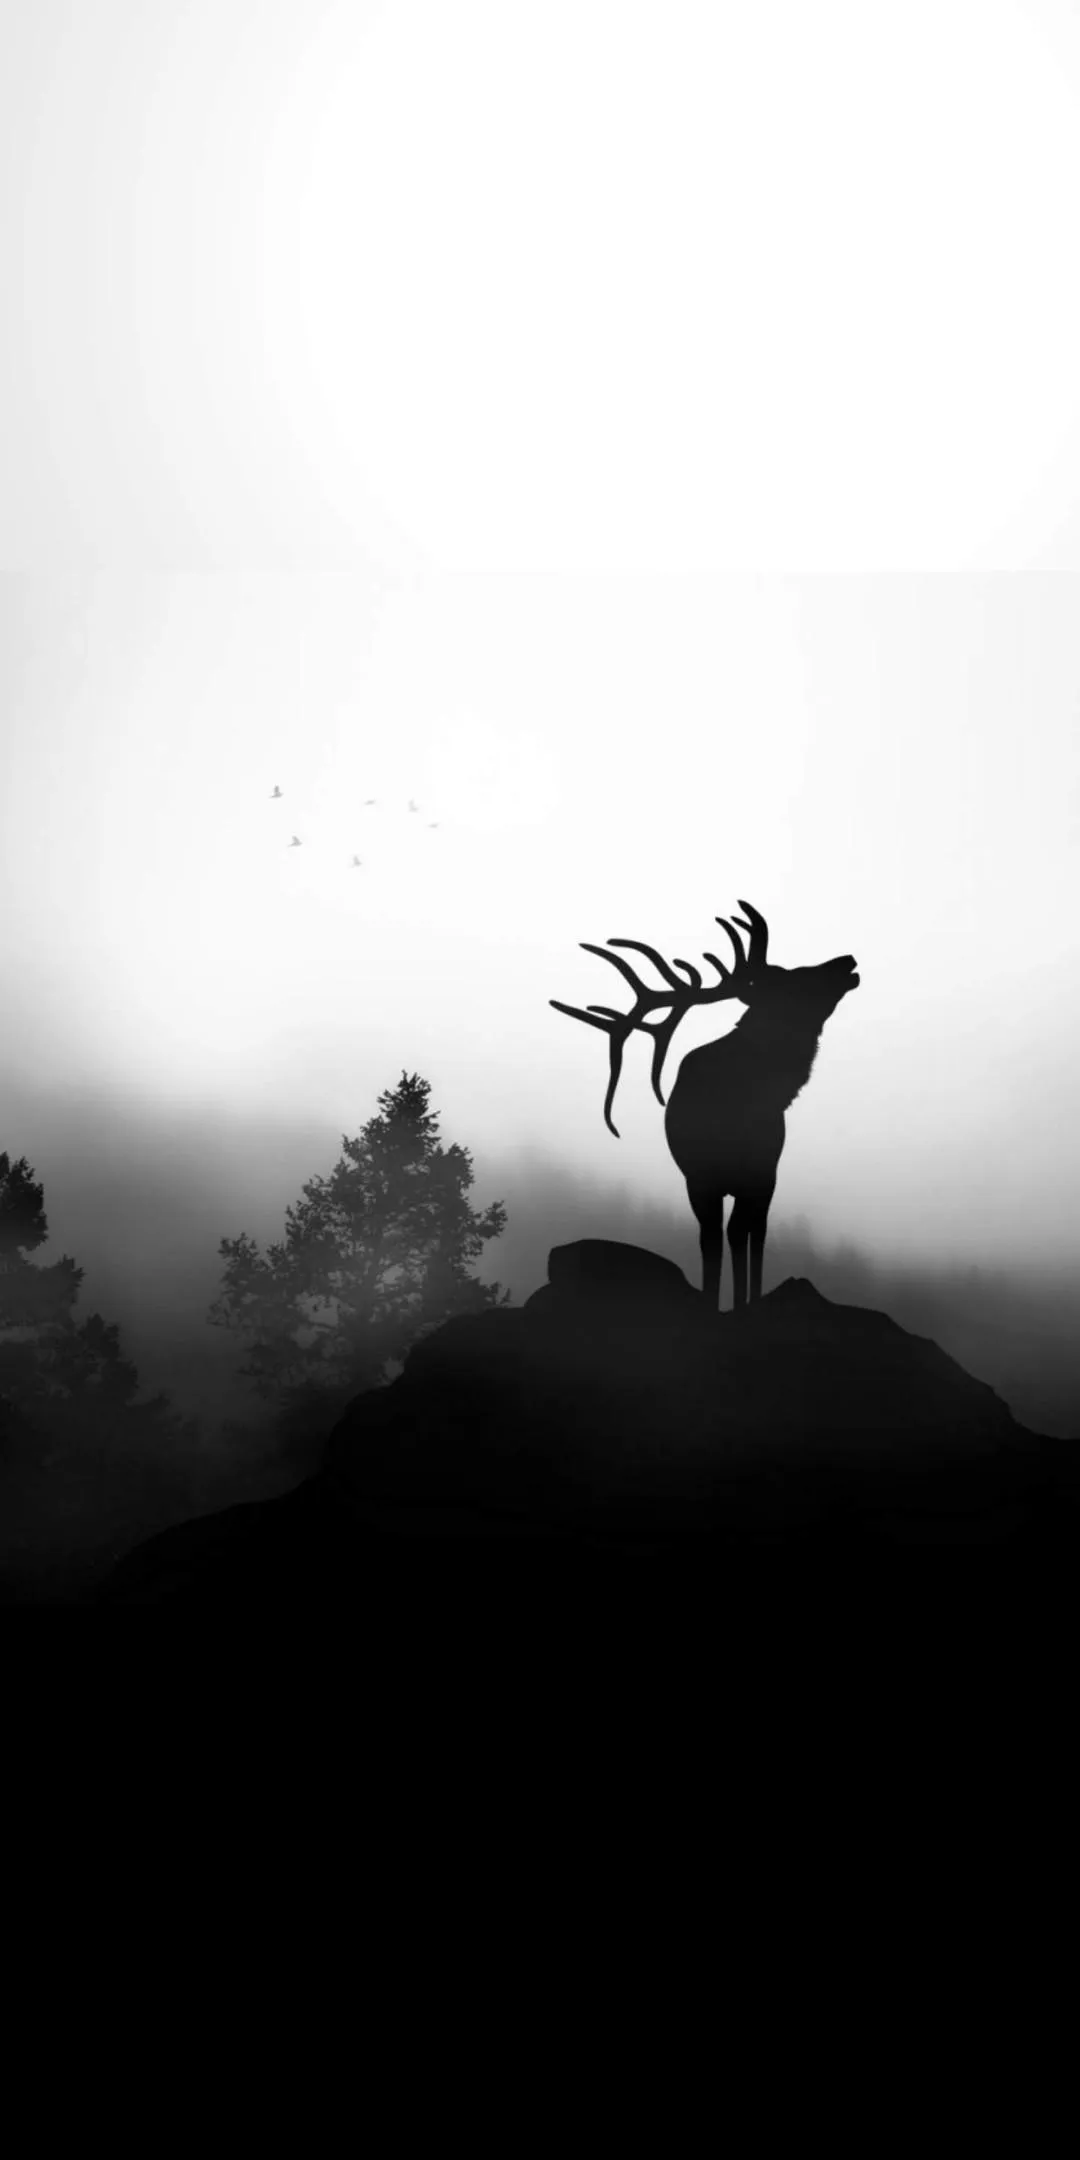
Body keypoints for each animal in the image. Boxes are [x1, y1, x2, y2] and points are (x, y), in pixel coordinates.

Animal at [551, 901, 859, 1312]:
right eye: (793, 981)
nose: (846, 961)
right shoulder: (719, 1176)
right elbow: (728, 1236)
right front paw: (731, 1303)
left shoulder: (743, 1173)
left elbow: (734, 1235)